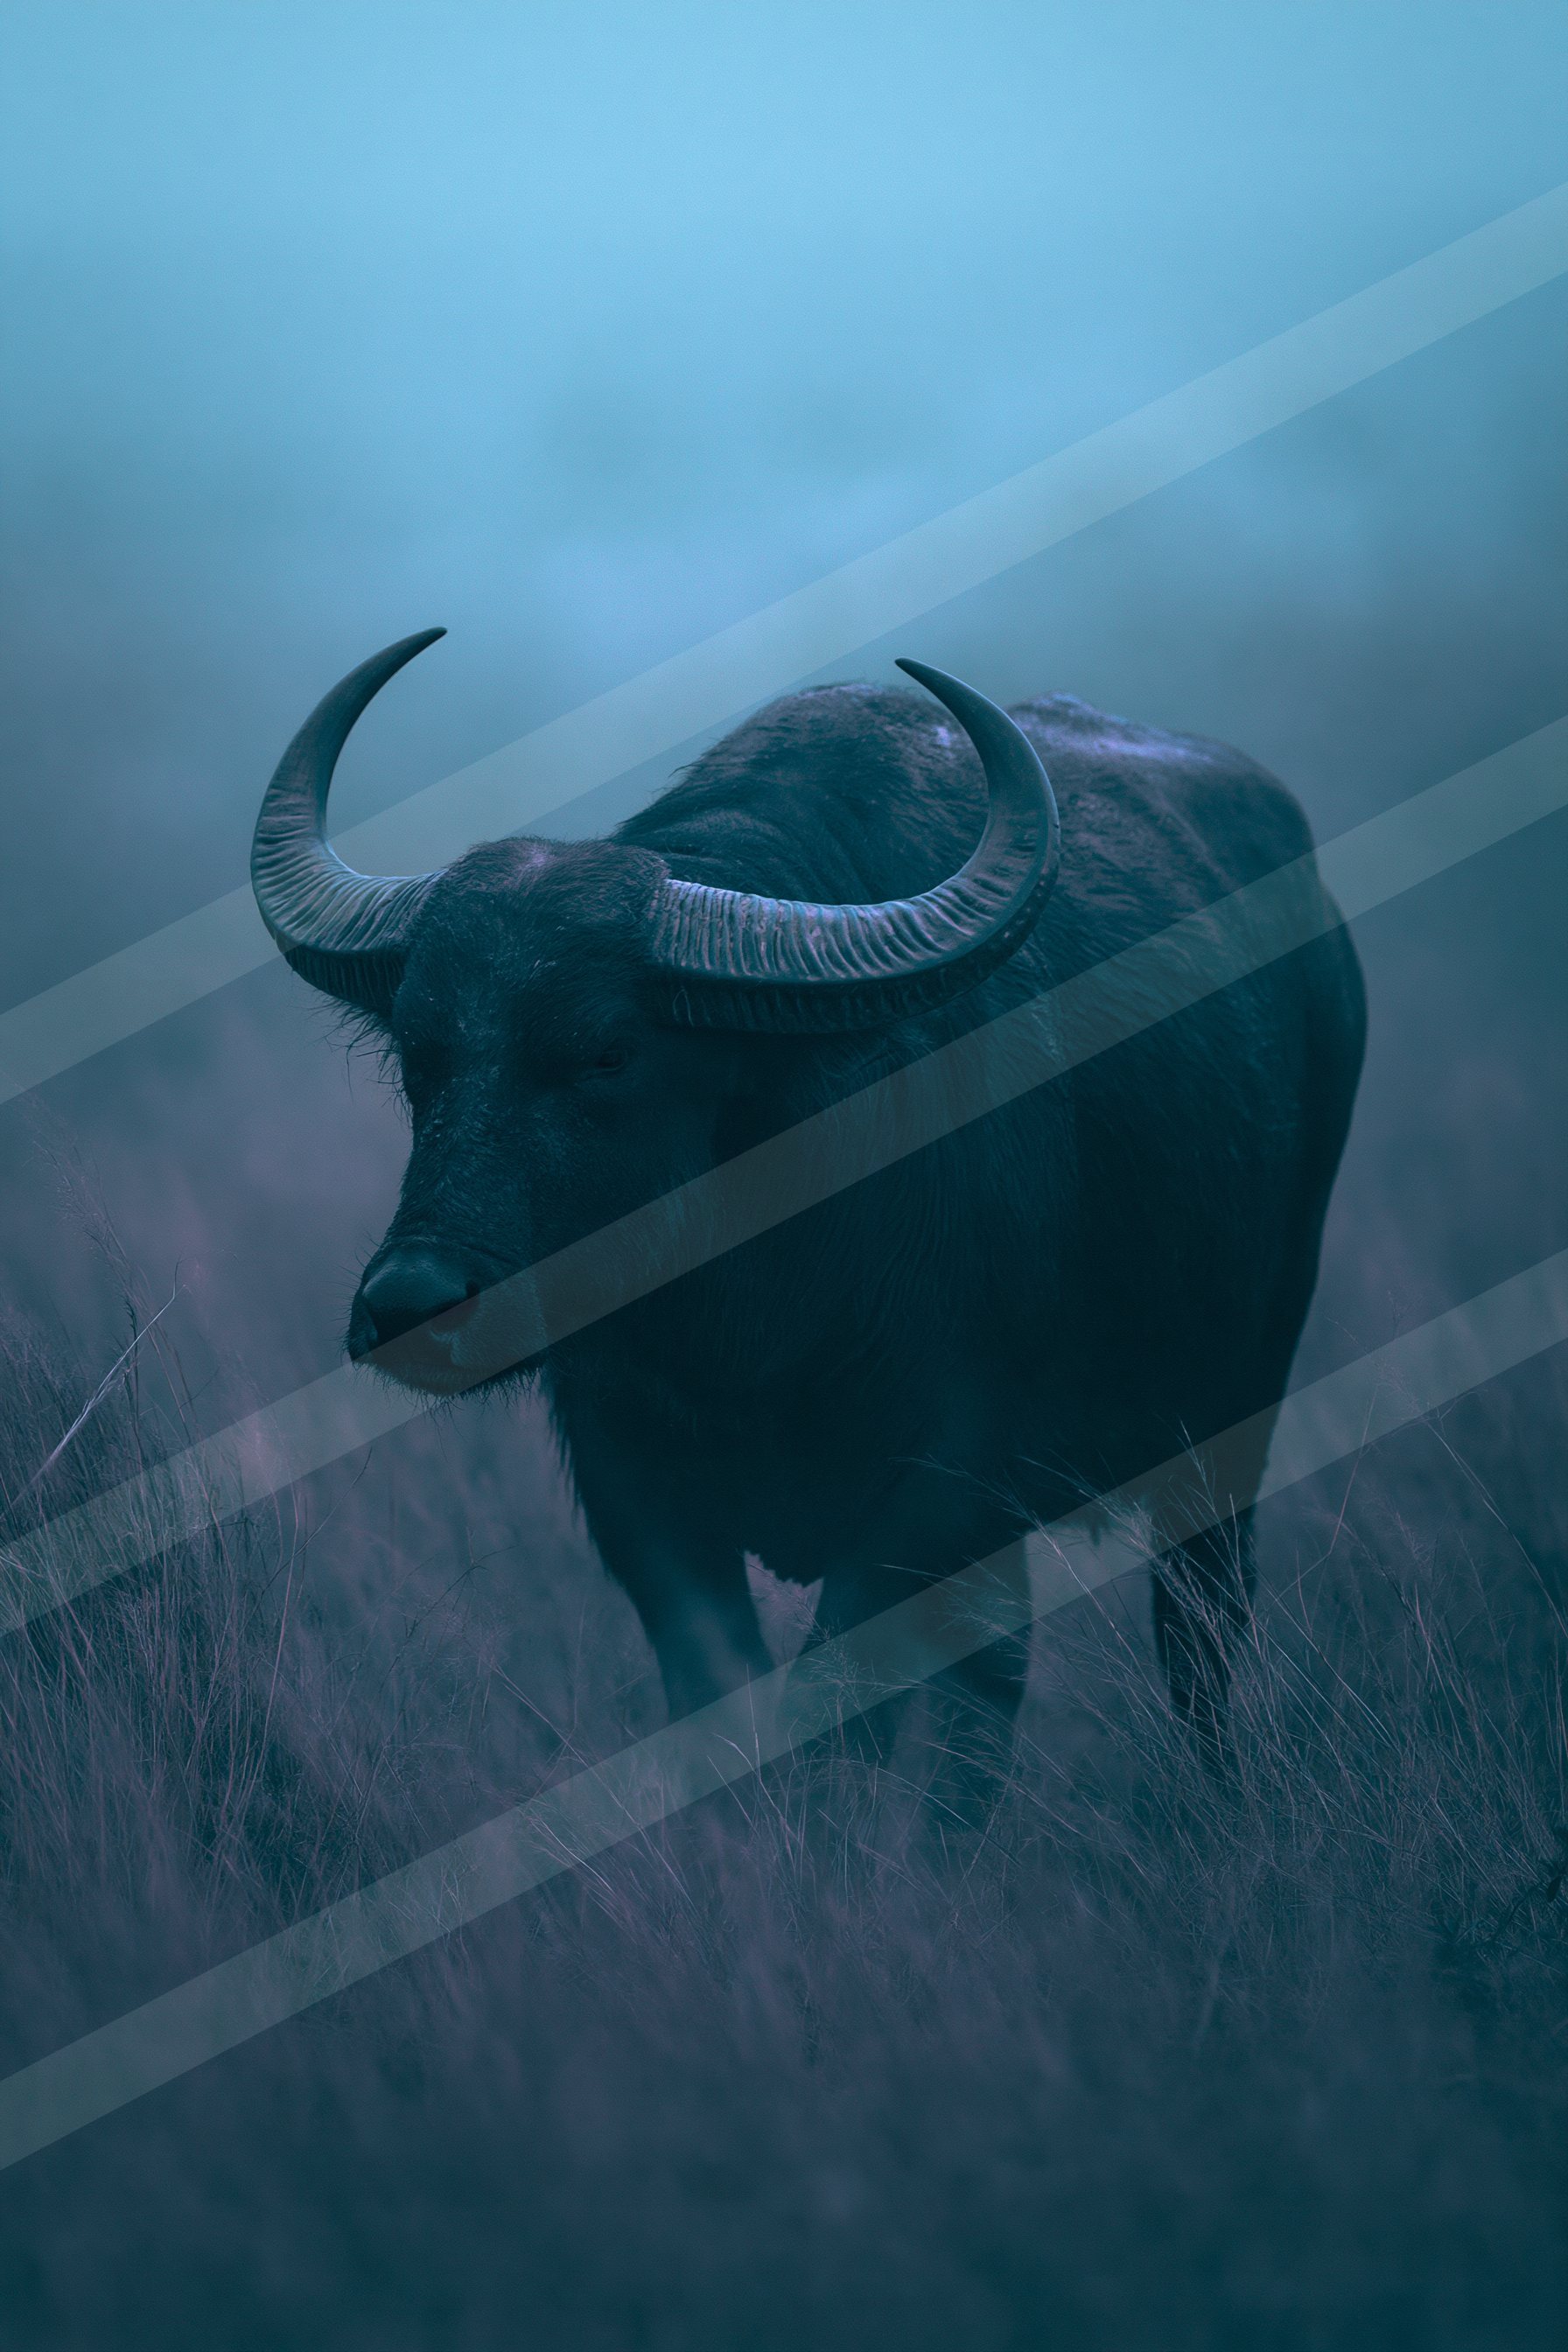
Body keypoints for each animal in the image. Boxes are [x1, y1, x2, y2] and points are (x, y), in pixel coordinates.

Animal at [251, 629, 1366, 1764]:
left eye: (608, 1052)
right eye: (418, 1052)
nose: (411, 1306)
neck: (749, 1325)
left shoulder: (934, 1491)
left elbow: (833, 1724)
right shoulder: (634, 1487)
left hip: (1232, 1416)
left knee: (1198, 1628)